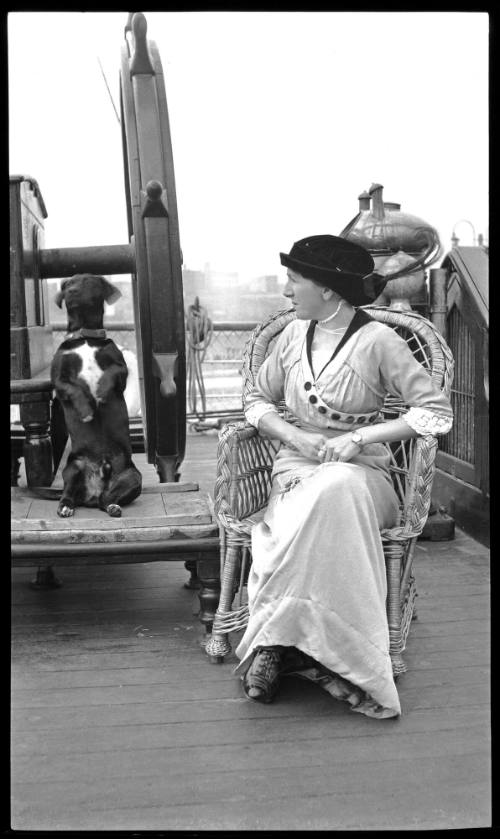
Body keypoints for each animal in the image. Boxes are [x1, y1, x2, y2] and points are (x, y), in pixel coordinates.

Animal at [50, 274, 143, 520]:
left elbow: (110, 374)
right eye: (66, 284)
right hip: (73, 468)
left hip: (131, 477)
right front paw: (87, 410)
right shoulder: (59, 380)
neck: (84, 336)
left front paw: (100, 392)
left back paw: (112, 506)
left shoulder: (121, 369)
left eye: (87, 281)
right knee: (69, 495)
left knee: (105, 501)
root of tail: (92, 492)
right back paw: (65, 507)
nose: (70, 291)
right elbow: (75, 389)